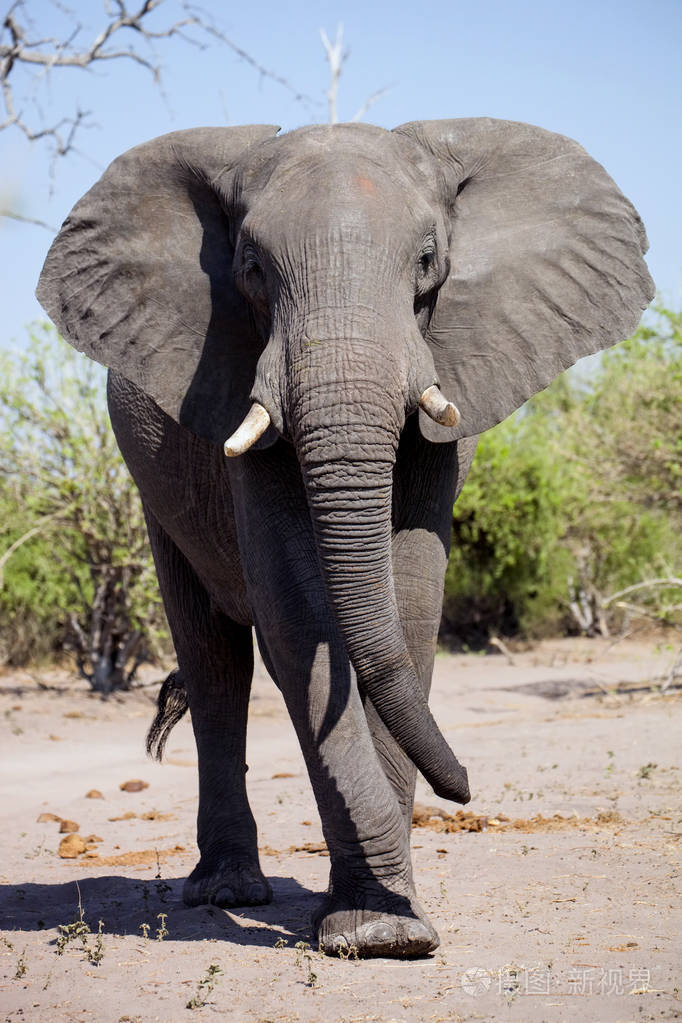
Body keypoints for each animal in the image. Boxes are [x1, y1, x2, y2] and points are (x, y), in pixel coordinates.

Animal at [36, 117, 653, 958]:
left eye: (427, 261)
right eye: (251, 268)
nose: (464, 786)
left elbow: (412, 598)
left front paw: (389, 924)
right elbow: (299, 611)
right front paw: (378, 931)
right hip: (156, 487)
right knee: (214, 658)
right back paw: (227, 890)